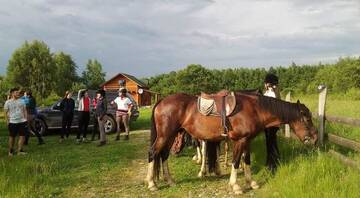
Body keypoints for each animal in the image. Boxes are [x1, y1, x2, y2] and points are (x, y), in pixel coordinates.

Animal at [145, 92, 316, 194]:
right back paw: (152, 184)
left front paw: (251, 182)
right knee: (153, 153)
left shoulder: (247, 140)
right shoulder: (240, 141)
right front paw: (236, 186)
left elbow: (246, 161)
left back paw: (170, 180)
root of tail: (161, 101)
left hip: (171, 135)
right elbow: (235, 162)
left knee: (164, 155)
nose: (314, 138)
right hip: (165, 135)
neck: (255, 109)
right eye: (307, 119)